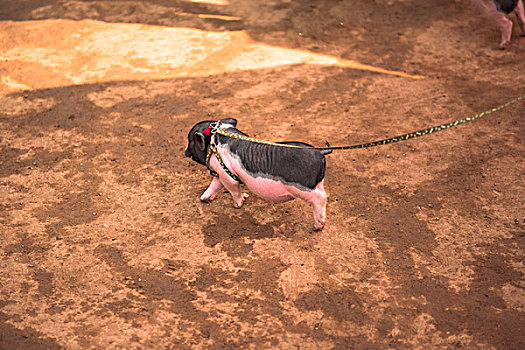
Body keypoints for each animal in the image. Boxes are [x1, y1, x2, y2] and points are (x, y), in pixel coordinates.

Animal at [184, 119, 330, 231]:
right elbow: (215, 184)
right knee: (323, 193)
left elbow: (233, 188)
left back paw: (317, 227)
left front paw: (237, 205)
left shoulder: (226, 173)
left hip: (303, 187)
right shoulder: (222, 172)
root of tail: (320, 152)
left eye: (190, 141)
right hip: (317, 182)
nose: (185, 152)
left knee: (320, 197)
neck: (213, 143)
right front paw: (203, 199)